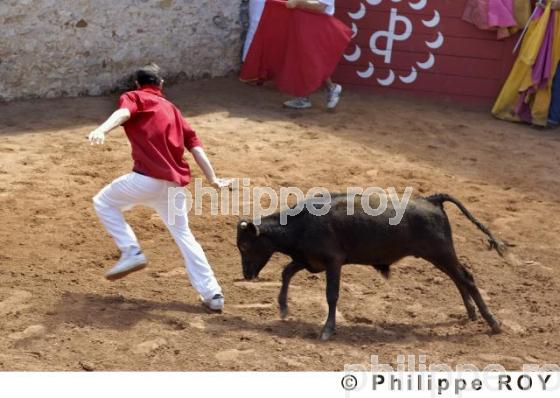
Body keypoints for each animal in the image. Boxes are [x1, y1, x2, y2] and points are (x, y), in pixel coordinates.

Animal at [236, 192, 508, 338]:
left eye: (245, 246)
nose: (246, 275)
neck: (302, 223)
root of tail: (432, 200)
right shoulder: (310, 261)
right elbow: (286, 272)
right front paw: (283, 308)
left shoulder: (333, 262)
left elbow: (332, 295)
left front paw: (327, 330)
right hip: (440, 256)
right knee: (459, 278)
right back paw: (472, 313)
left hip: (441, 253)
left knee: (466, 278)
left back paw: (493, 322)